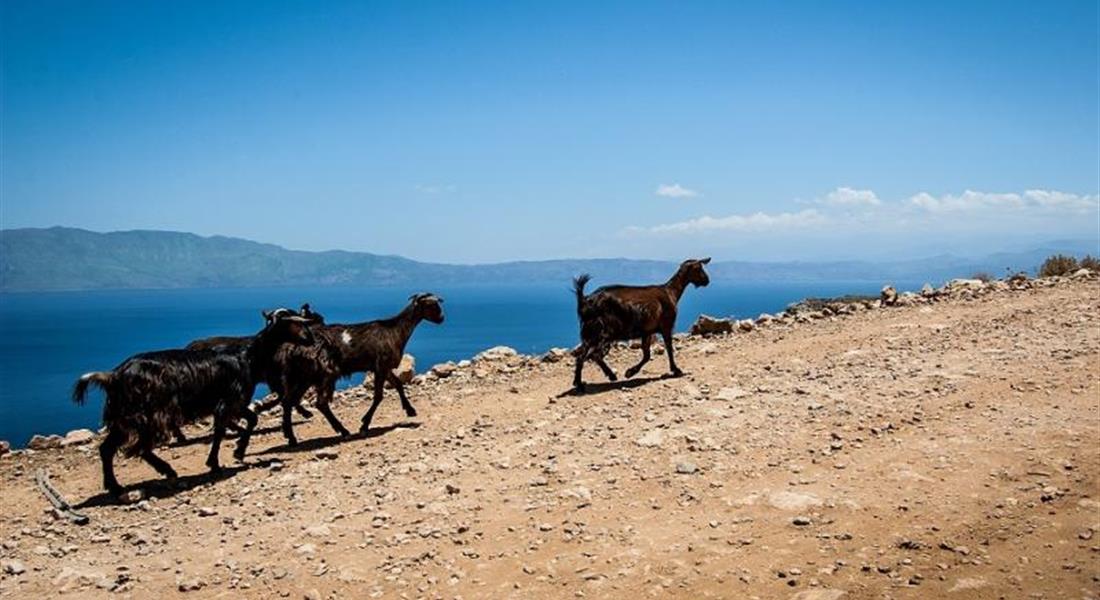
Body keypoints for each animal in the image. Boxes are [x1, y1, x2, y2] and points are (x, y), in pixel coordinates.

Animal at [73, 308, 314, 495]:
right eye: (295, 322)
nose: (310, 339)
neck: (248, 357)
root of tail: (114, 376)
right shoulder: (229, 401)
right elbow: (222, 431)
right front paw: (216, 462)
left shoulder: (234, 403)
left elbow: (251, 419)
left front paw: (238, 451)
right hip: (147, 414)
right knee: (139, 447)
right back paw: (164, 470)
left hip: (124, 417)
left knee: (108, 448)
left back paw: (116, 486)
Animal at [268, 292, 444, 442]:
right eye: (431, 304)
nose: (442, 318)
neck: (395, 330)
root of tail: (292, 347)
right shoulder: (381, 366)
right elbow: (378, 396)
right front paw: (364, 425)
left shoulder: (384, 367)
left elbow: (399, 385)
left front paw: (410, 410)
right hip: (324, 373)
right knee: (320, 403)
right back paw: (343, 431)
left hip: (305, 375)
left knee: (289, 401)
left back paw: (291, 437)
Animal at [572, 257, 717, 391]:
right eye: (698, 268)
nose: (706, 281)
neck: (670, 292)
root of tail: (586, 302)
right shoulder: (667, 326)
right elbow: (669, 348)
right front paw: (676, 370)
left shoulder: (647, 331)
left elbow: (647, 355)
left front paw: (630, 372)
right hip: (604, 332)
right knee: (594, 354)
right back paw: (604, 377)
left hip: (590, 333)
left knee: (582, 355)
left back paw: (581, 382)